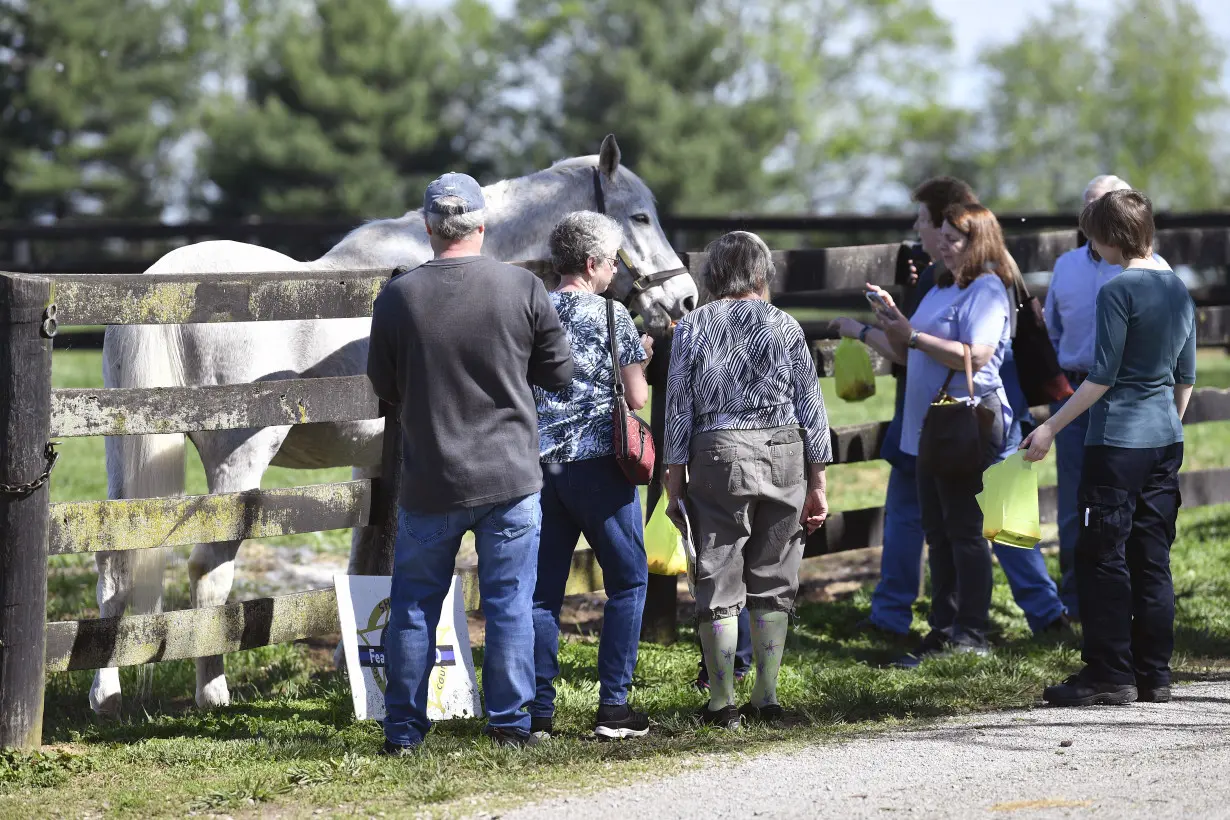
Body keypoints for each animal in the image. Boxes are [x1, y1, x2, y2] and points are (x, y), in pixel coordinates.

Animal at [91, 133, 698, 713]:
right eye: (640, 217)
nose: (687, 299)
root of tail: (165, 284)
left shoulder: (374, 466)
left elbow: (367, 555)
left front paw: (355, 660)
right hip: (236, 465)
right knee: (208, 571)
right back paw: (212, 692)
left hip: (125, 458)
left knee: (115, 563)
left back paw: (108, 693)